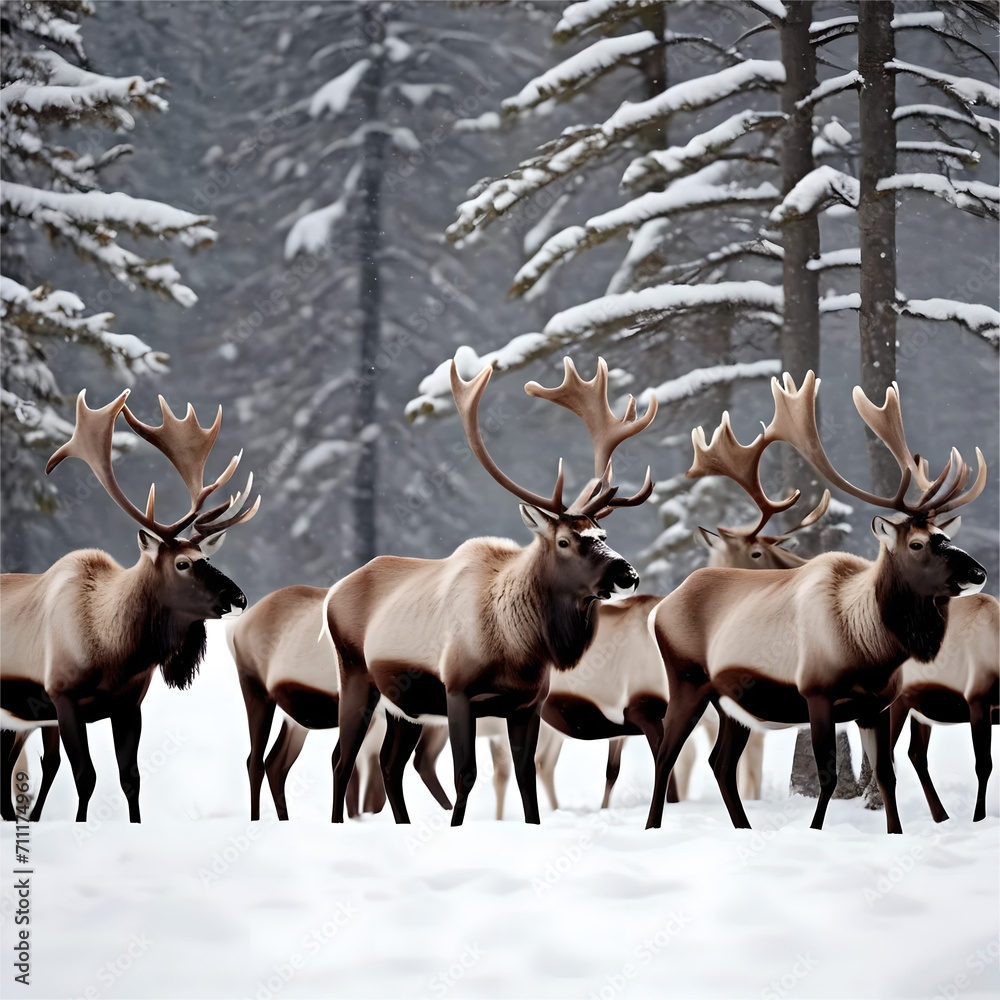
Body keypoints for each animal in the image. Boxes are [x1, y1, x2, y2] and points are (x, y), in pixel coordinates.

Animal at [1, 389, 258, 822]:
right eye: (183, 563)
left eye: (206, 556)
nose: (239, 598)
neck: (114, 652)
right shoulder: (62, 696)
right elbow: (85, 776)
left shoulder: (127, 704)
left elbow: (130, 778)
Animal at [323, 357, 657, 826]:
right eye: (564, 541)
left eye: (603, 533)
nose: (627, 573)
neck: (519, 649)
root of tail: (331, 593)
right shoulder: (458, 690)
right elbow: (465, 774)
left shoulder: (528, 704)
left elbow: (526, 775)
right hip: (354, 673)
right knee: (342, 757)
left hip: (404, 704)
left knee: (390, 764)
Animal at [644, 371, 987, 835]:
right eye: (916, 543)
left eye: (945, 535)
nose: (978, 573)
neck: (871, 648)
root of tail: (659, 608)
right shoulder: (817, 691)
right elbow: (828, 775)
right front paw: (815, 830)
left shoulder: (874, 706)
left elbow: (885, 775)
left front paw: (895, 832)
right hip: (686, 679)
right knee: (666, 752)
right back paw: (653, 827)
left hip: (730, 701)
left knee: (721, 763)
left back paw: (742, 827)